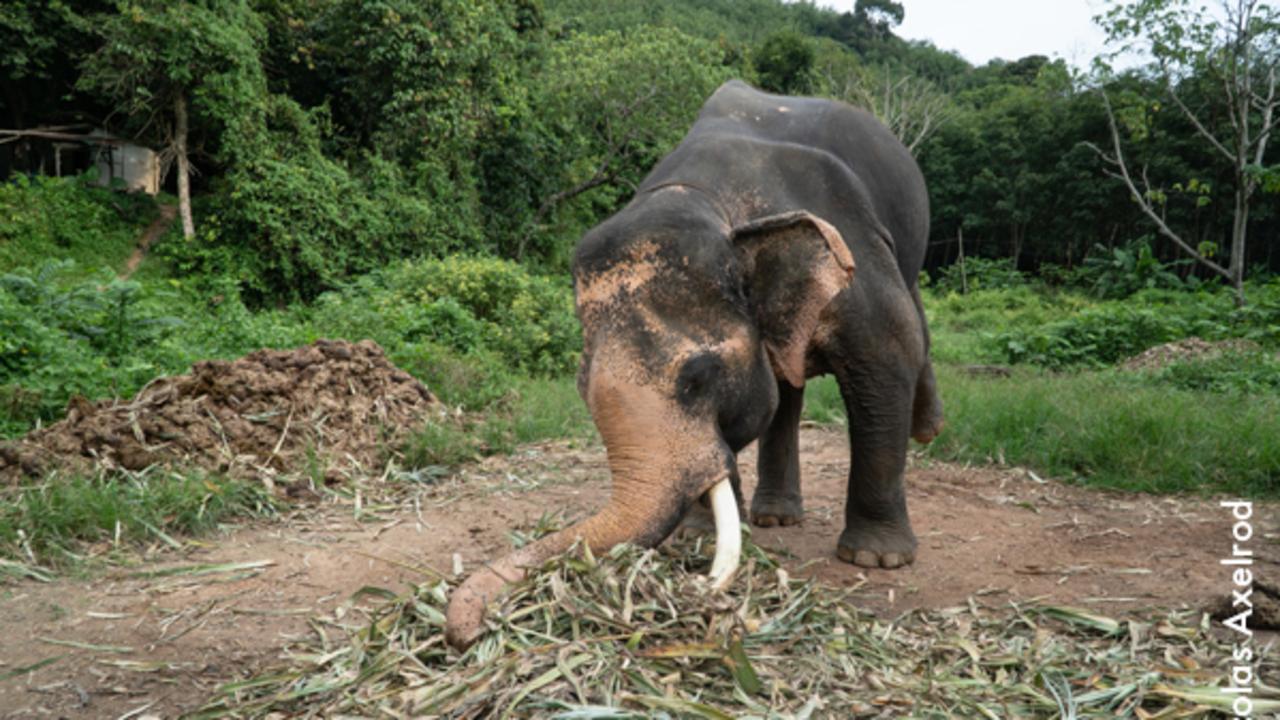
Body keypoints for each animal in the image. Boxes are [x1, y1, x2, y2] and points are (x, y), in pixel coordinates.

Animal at [445, 81, 947, 648]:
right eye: (580, 385)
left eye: (697, 378)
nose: (465, 633)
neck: (708, 199)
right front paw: (699, 536)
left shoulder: (853, 242)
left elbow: (887, 354)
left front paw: (876, 559)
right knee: (787, 389)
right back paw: (775, 518)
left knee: (910, 323)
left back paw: (926, 429)